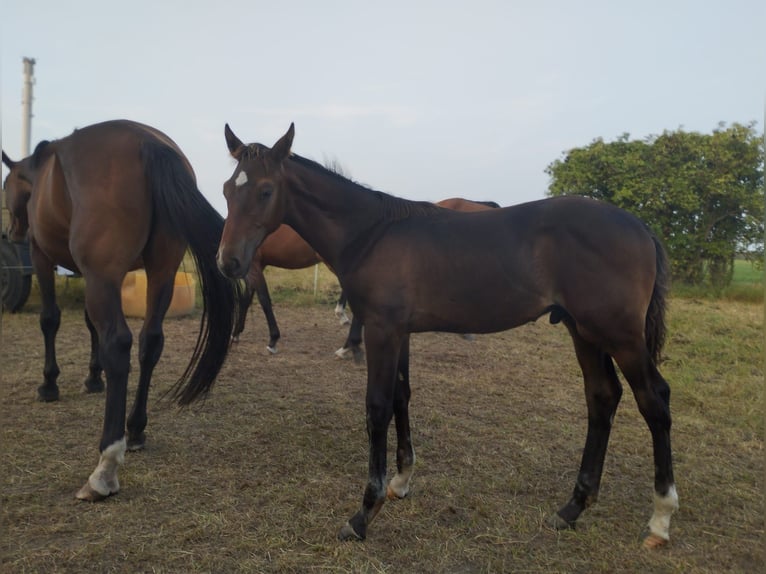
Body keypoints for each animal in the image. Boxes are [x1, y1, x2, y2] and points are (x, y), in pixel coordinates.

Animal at [0, 120, 240, 504]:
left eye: (7, 186)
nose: (13, 232)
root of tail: (146, 142)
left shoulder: (43, 257)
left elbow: (51, 320)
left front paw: (49, 384)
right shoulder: (94, 274)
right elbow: (89, 325)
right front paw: (92, 378)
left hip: (103, 274)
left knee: (118, 342)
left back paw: (106, 465)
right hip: (161, 271)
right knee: (150, 342)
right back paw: (136, 429)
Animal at [214, 125, 680, 548]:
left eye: (265, 190)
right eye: (226, 190)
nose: (228, 262)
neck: (371, 234)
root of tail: (639, 226)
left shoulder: (381, 331)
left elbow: (377, 408)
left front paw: (364, 513)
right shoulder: (398, 332)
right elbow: (402, 396)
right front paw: (401, 481)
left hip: (619, 334)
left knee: (653, 400)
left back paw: (660, 519)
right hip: (583, 331)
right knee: (602, 397)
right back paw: (571, 508)